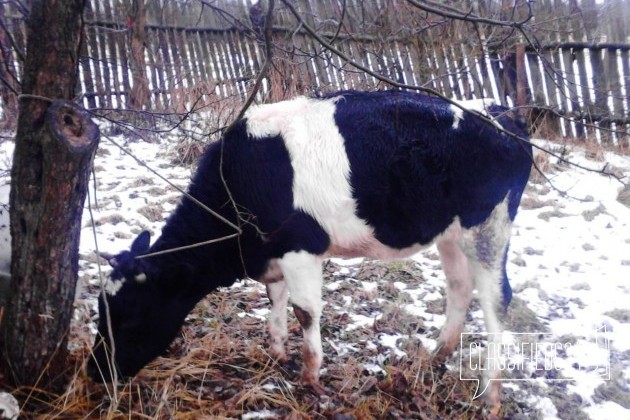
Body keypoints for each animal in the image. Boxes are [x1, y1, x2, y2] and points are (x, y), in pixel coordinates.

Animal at [89, 89, 532, 406]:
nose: (95, 372)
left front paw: (310, 377)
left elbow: (305, 311)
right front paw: (276, 352)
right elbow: (276, 300)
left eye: (129, 317)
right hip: (451, 234)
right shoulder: (275, 250)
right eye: (101, 309)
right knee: (459, 287)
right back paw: (437, 355)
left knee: (497, 300)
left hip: (488, 227)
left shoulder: (301, 246)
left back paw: (490, 395)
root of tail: (502, 112)